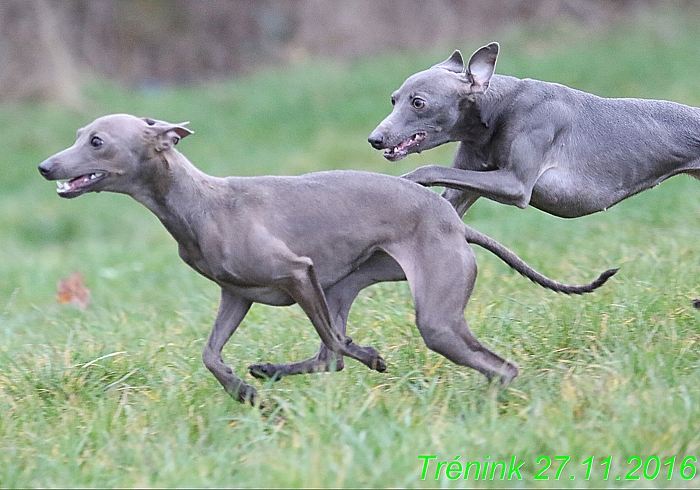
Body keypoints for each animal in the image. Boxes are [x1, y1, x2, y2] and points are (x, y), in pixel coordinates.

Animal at [39, 115, 616, 406]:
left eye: (96, 141)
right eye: (76, 136)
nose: (45, 166)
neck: (200, 202)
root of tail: (454, 222)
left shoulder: (298, 273)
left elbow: (339, 346)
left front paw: (369, 356)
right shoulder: (238, 295)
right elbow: (211, 356)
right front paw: (244, 390)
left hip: (433, 316)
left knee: (496, 366)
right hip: (344, 286)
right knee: (328, 351)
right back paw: (271, 371)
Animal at [366, 42, 700, 218]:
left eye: (418, 102)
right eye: (394, 99)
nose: (375, 139)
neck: (499, 108)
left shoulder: (515, 183)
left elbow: (429, 169)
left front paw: (402, 182)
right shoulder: (459, 193)